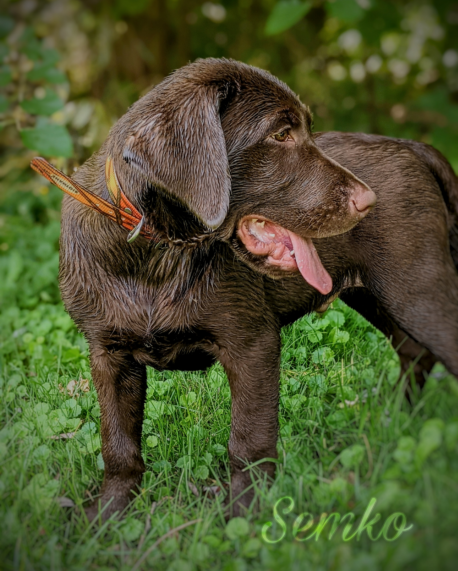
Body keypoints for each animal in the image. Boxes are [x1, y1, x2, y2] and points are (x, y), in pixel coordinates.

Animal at [59, 59, 458, 524]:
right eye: (281, 134)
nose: (367, 200)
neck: (158, 254)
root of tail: (414, 147)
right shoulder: (108, 354)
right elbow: (118, 443)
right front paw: (109, 514)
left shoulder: (252, 344)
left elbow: (249, 439)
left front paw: (246, 514)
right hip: (377, 293)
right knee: (413, 351)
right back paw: (394, 419)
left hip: (417, 287)